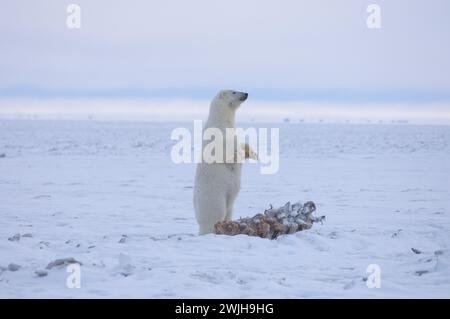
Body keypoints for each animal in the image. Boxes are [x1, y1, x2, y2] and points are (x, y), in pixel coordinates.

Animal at [193, 90, 256, 235]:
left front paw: (253, 153)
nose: (246, 93)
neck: (220, 119)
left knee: (229, 210)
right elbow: (226, 151)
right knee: (217, 213)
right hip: (215, 197)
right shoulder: (218, 134)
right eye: (234, 91)